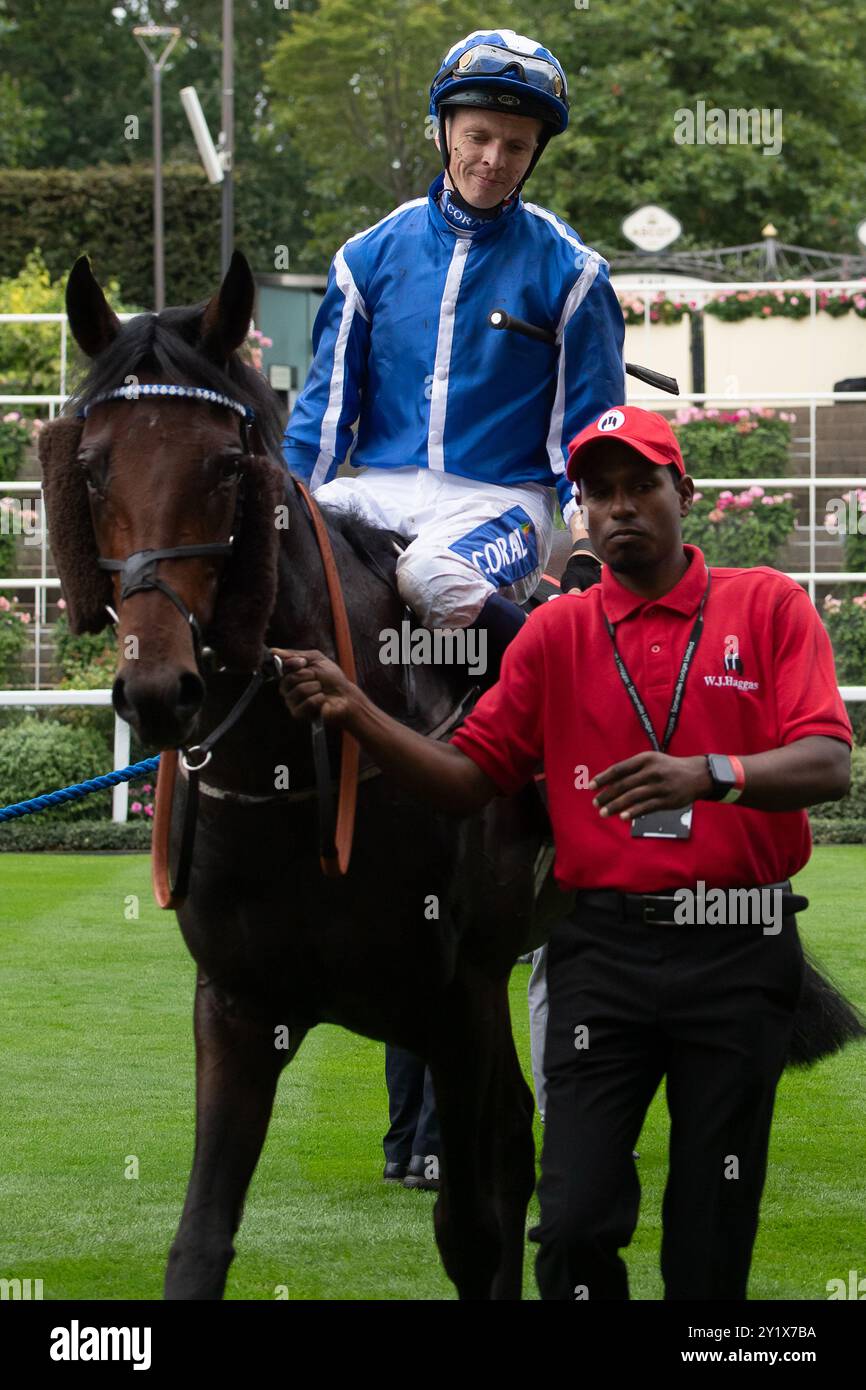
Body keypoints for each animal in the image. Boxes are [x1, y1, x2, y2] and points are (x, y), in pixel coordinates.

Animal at [38, 252, 561, 1301]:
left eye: (226, 466)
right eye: (91, 466)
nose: (158, 689)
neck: (295, 777)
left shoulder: (459, 999)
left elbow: (470, 1227)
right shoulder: (238, 1007)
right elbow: (198, 1243)